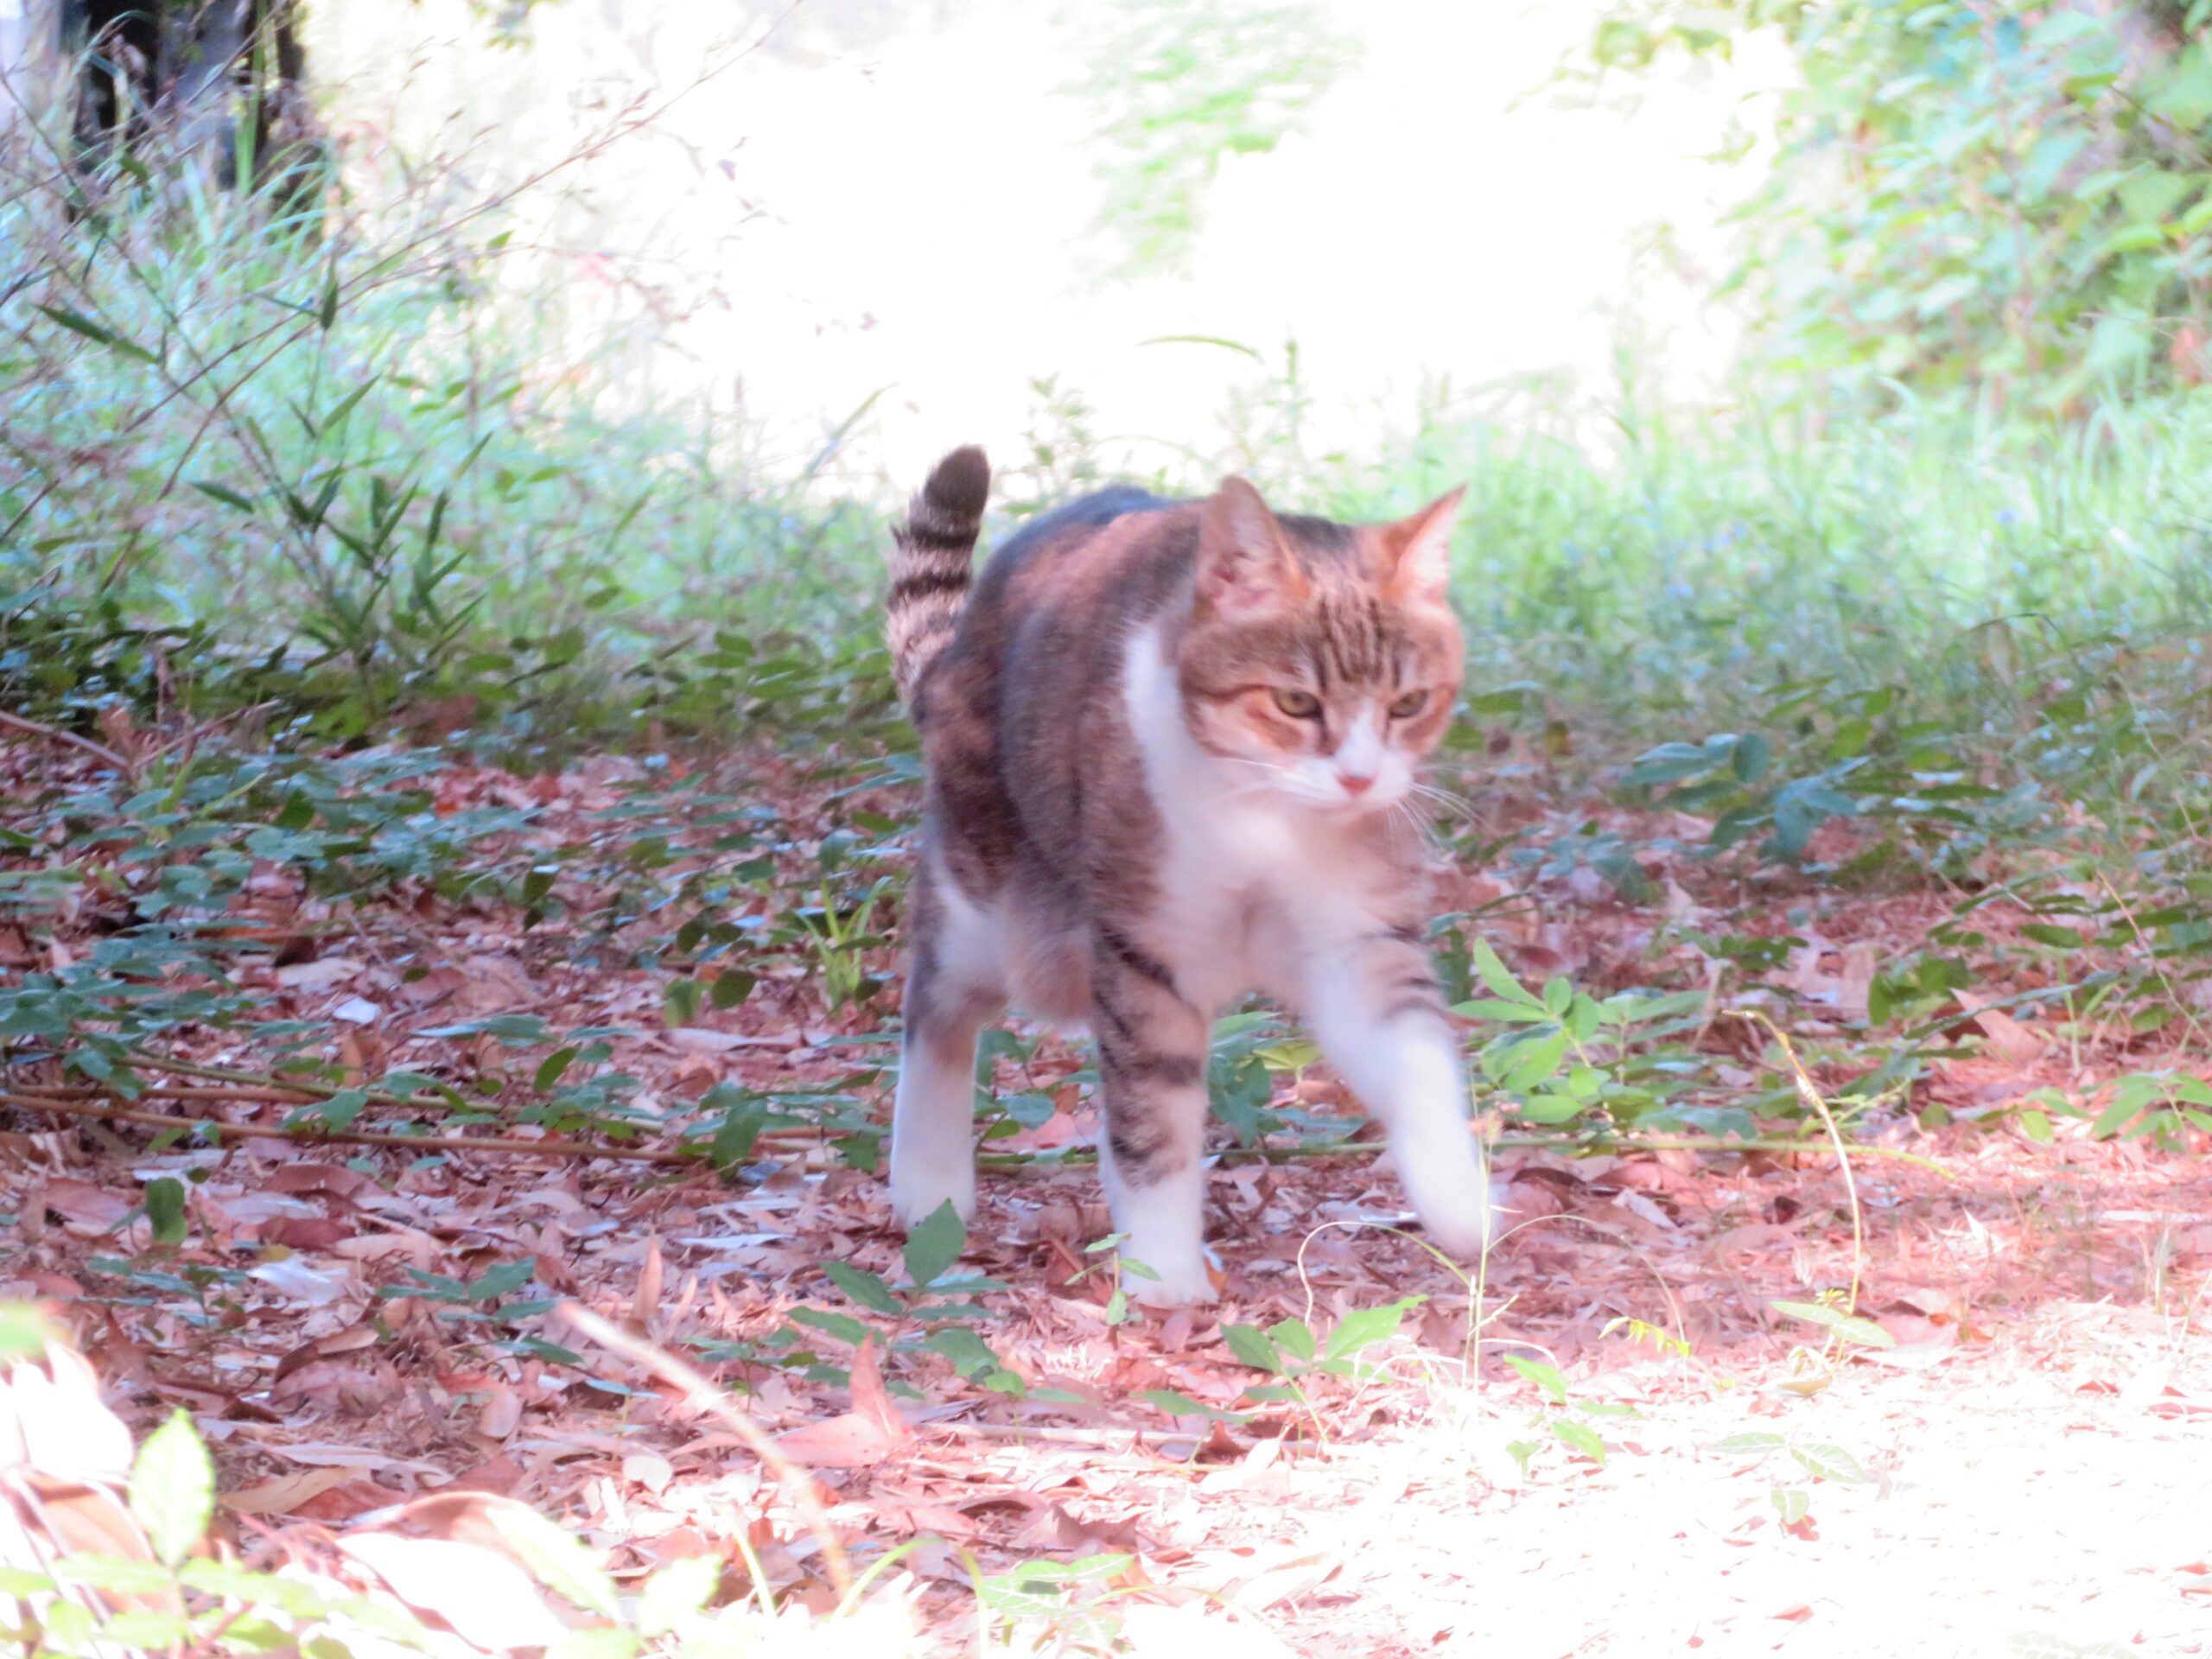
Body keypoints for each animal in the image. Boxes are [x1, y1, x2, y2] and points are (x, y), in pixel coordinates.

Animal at [889, 448, 1495, 1309]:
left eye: (1409, 703)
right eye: (1295, 701)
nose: (1360, 779)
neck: (1268, 822)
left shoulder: (1357, 943)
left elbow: (1417, 1061)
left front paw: (1458, 1197)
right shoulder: (1149, 953)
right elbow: (1154, 1120)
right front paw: (1165, 1270)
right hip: (998, 907)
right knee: (939, 1003)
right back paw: (929, 1182)